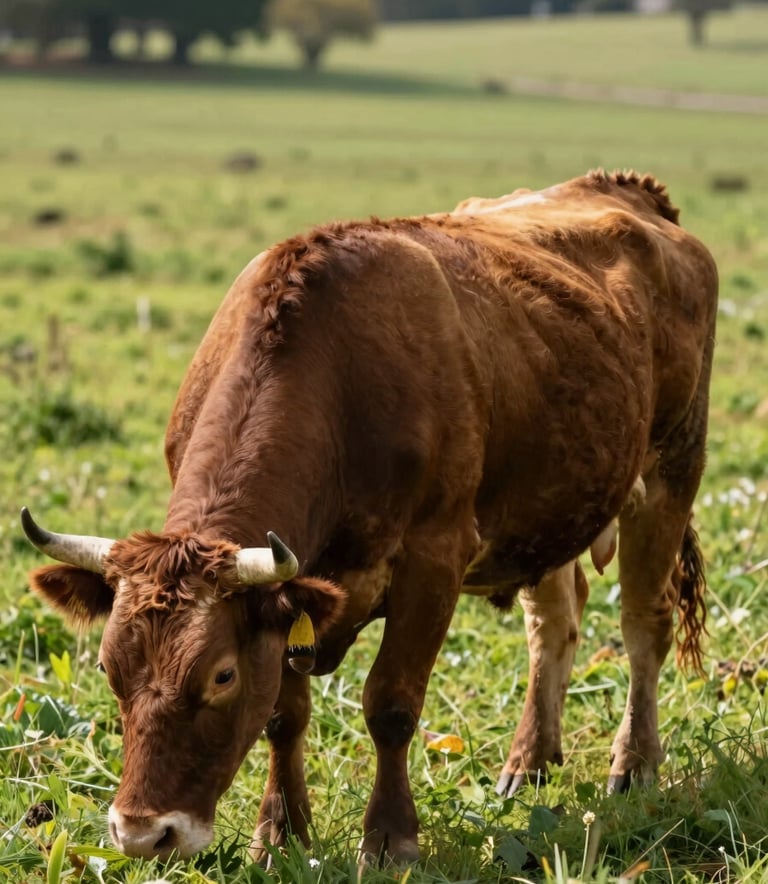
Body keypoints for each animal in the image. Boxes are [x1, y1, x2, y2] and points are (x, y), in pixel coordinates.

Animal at [21, 169, 717, 865]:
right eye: (109, 667)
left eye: (221, 675)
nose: (143, 833)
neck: (338, 384)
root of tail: (629, 192)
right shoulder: (292, 599)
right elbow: (284, 714)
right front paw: (280, 832)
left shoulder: (433, 560)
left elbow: (391, 704)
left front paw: (390, 837)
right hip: (549, 507)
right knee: (553, 624)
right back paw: (529, 762)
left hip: (672, 472)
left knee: (643, 625)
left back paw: (635, 764)